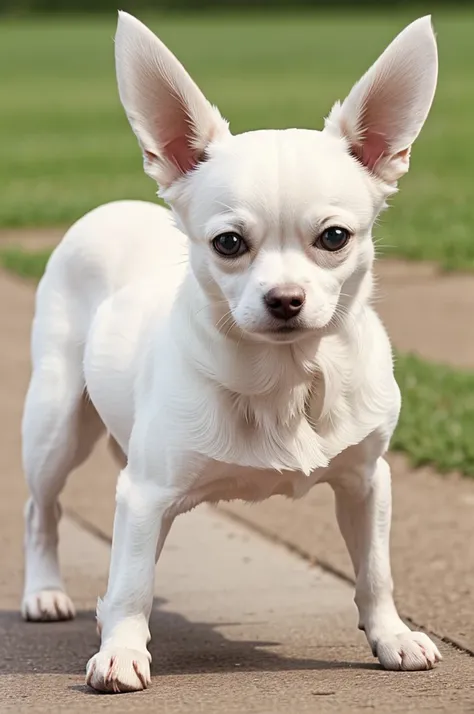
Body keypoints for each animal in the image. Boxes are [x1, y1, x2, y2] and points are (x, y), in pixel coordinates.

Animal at [20, 11, 438, 688]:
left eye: (335, 237)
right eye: (229, 243)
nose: (285, 299)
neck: (286, 379)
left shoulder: (366, 482)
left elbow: (376, 571)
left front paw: (391, 636)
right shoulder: (145, 493)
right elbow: (130, 581)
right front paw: (122, 650)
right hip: (56, 425)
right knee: (42, 510)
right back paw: (44, 593)